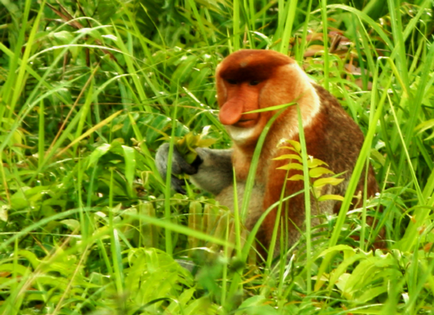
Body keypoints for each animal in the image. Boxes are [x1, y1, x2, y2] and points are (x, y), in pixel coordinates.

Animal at [157, 50, 380, 254]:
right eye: (232, 82)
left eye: (254, 83)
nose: (231, 109)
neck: (292, 109)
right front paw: (174, 155)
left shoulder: (303, 152)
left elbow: (299, 248)